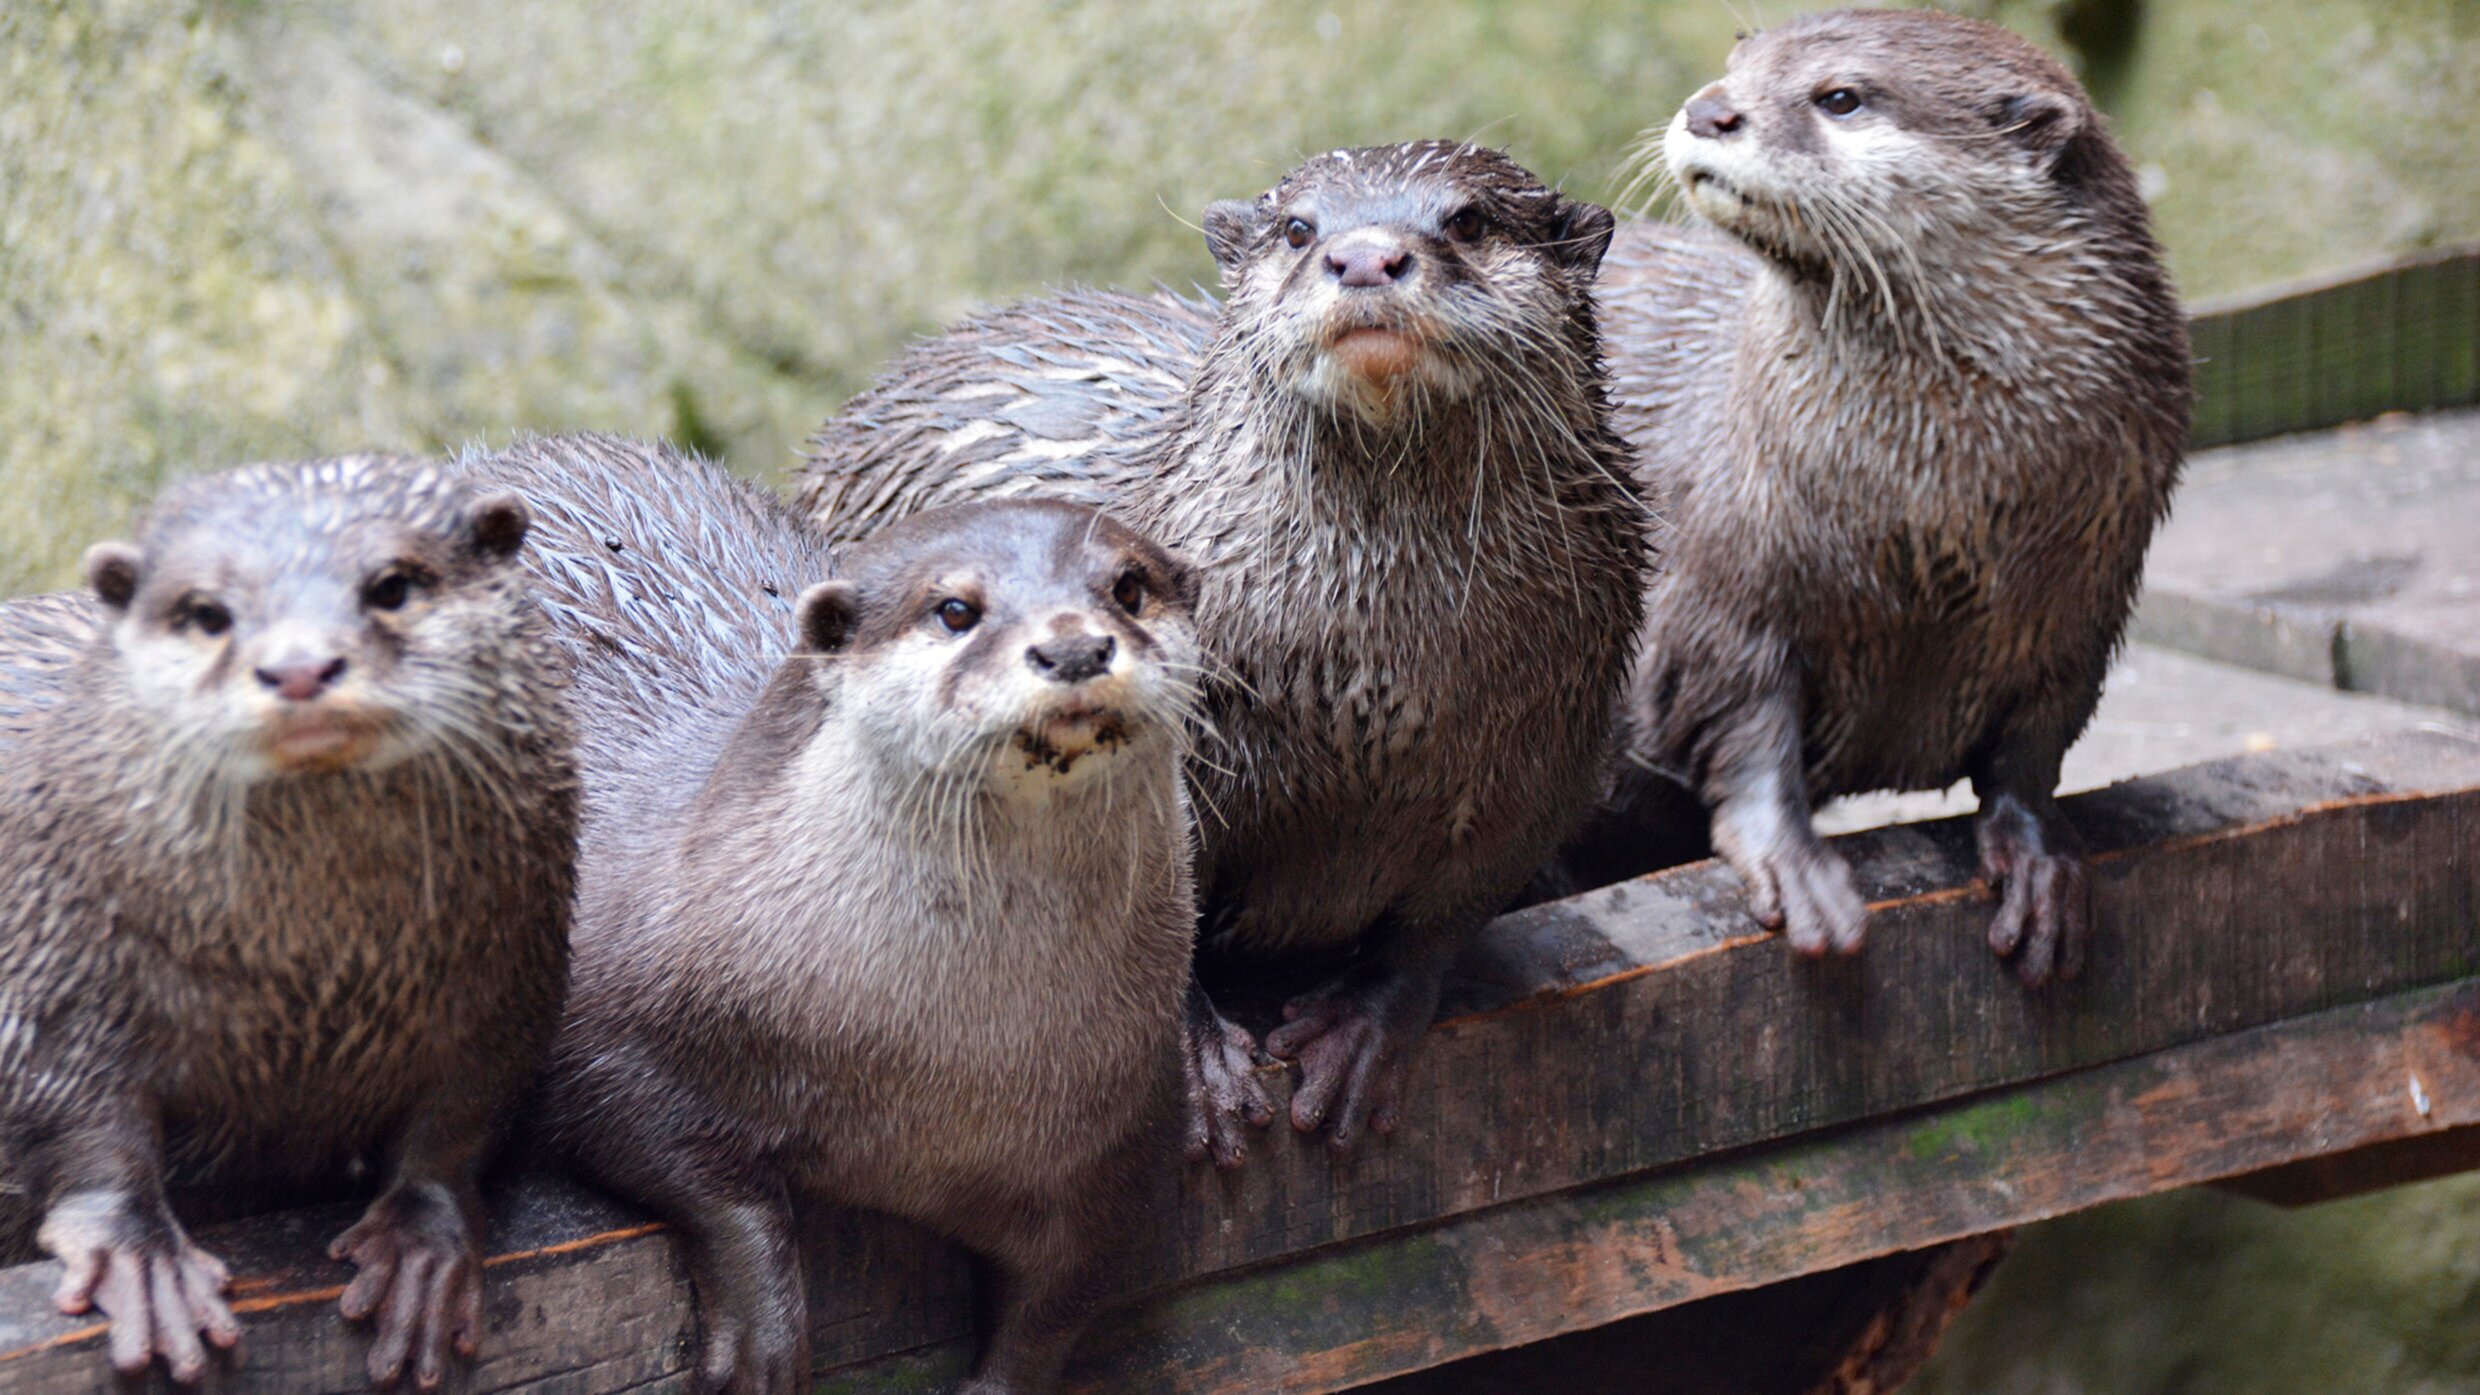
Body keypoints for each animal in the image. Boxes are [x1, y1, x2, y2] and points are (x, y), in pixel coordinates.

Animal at [0, 458, 578, 1387]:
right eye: (207, 613)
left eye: (392, 585)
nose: (301, 667)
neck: (307, 975)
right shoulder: (53, 948)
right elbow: (79, 1116)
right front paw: (143, 1261)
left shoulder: (513, 970)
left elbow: (462, 1111)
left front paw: (422, 1248)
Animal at [463, 435, 1202, 1395]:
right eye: (955, 609)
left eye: (1128, 586)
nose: (1073, 646)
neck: (941, 1063)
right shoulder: (617, 1030)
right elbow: (689, 1162)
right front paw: (765, 1332)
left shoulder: (1120, 1140)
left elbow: (1063, 1297)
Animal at [797, 142, 1647, 1164]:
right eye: (1299, 228)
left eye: (1471, 220)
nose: (1366, 257)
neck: (1375, 677)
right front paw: (1196, 1070)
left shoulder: (1548, 752)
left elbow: (1446, 914)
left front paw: (1360, 1036)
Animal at [1592, 8, 2190, 983]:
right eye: (1736, 58)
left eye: (1840, 96)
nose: (1708, 108)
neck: (1925, 514)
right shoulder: (1723, 573)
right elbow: (1738, 722)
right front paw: (1795, 869)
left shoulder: (2081, 600)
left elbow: (2033, 750)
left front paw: (2040, 863)